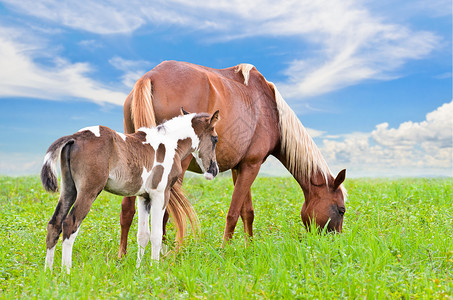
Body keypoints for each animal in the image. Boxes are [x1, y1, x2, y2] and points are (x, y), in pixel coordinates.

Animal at [40, 109, 221, 274]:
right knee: (70, 224)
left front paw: (139, 269)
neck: (170, 143)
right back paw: (66, 272)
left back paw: (48, 272)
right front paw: (155, 269)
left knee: (54, 223)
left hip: (69, 189)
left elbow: (143, 235)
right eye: (215, 139)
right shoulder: (160, 194)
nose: (214, 170)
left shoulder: (143, 197)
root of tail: (74, 137)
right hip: (89, 191)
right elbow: (156, 234)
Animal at [117, 61, 346, 258]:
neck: (272, 111)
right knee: (164, 212)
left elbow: (247, 212)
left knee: (128, 209)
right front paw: (225, 249)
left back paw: (122, 255)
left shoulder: (241, 167)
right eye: (341, 210)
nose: (336, 243)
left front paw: (249, 247)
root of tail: (150, 77)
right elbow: (234, 212)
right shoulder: (252, 166)